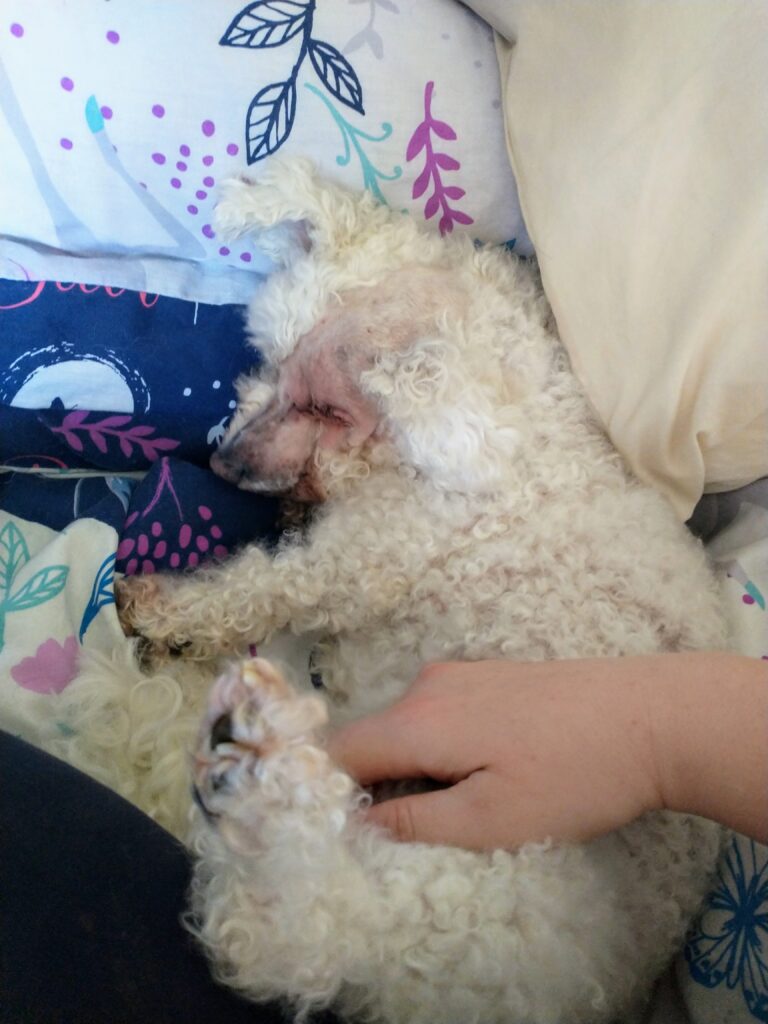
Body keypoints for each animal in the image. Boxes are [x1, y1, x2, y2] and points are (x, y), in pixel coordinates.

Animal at [114, 159, 729, 1024]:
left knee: (295, 925)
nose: (227, 462)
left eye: (326, 406)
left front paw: (172, 612)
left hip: (465, 890)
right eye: (271, 357)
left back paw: (259, 778)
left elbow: (265, 586)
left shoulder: (374, 552)